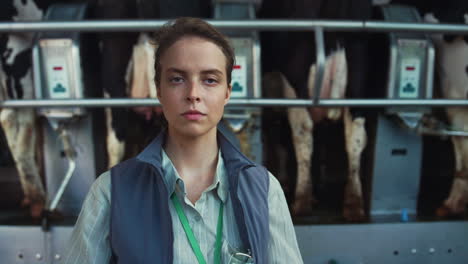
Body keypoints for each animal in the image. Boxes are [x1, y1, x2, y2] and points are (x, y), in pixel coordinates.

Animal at [258, 0, 372, 221]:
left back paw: (302, 200)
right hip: (358, 85)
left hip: (295, 89)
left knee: (302, 135)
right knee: (355, 138)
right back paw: (353, 204)